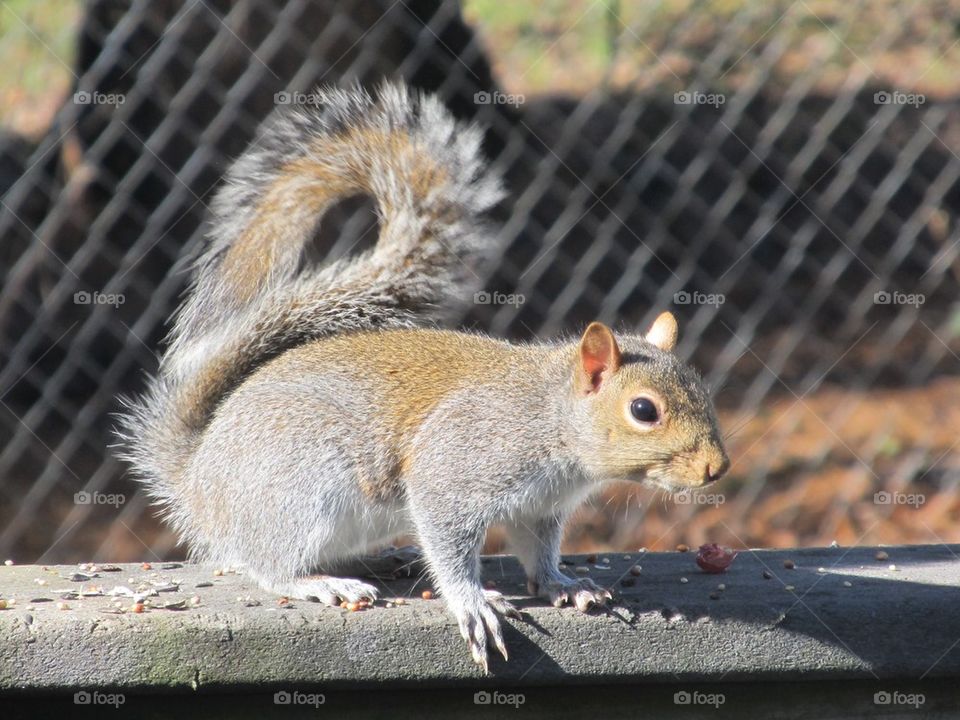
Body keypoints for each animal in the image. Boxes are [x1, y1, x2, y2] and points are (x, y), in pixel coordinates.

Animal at [114, 81, 728, 672]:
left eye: (701, 390)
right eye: (644, 410)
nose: (717, 468)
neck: (550, 420)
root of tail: (197, 480)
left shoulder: (539, 508)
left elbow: (538, 551)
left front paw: (563, 585)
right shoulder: (457, 464)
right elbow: (448, 535)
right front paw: (471, 600)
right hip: (298, 489)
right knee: (267, 563)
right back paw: (321, 582)